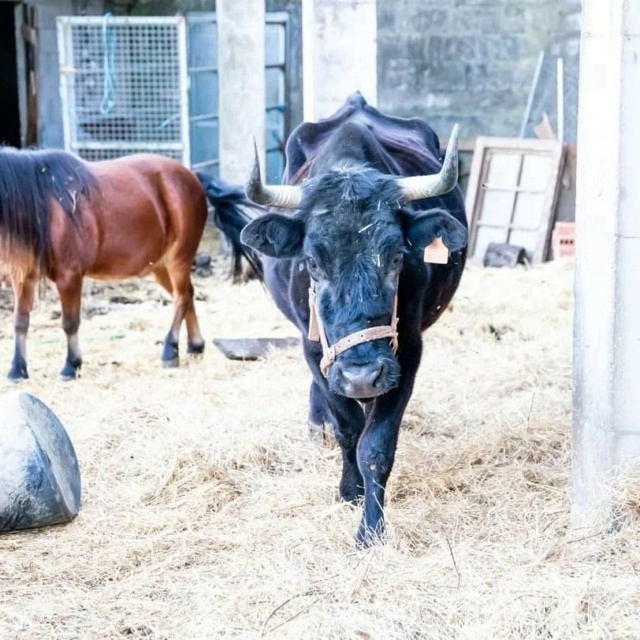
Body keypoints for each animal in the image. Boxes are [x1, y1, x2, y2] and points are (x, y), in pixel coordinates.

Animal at [219, 92, 464, 548]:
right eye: (313, 262)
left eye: (397, 257)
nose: (362, 376)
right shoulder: (314, 349)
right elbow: (347, 428)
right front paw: (350, 490)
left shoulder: (407, 352)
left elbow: (376, 446)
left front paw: (371, 529)